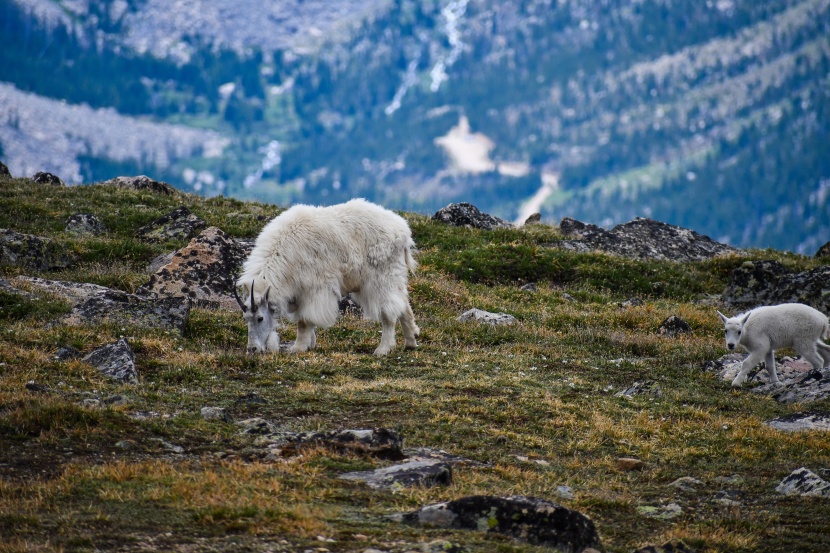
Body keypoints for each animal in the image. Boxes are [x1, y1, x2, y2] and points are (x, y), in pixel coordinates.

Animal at [234, 201, 420, 356]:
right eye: (246, 318)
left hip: (381, 279)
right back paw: (411, 341)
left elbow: (304, 320)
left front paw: (298, 347)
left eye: (260, 318)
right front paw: (310, 343)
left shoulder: (315, 288)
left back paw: (383, 349)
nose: (253, 349)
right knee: (403, 303)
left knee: (389, 312)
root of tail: (403, 231)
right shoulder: (299, 292)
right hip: (394, 275)